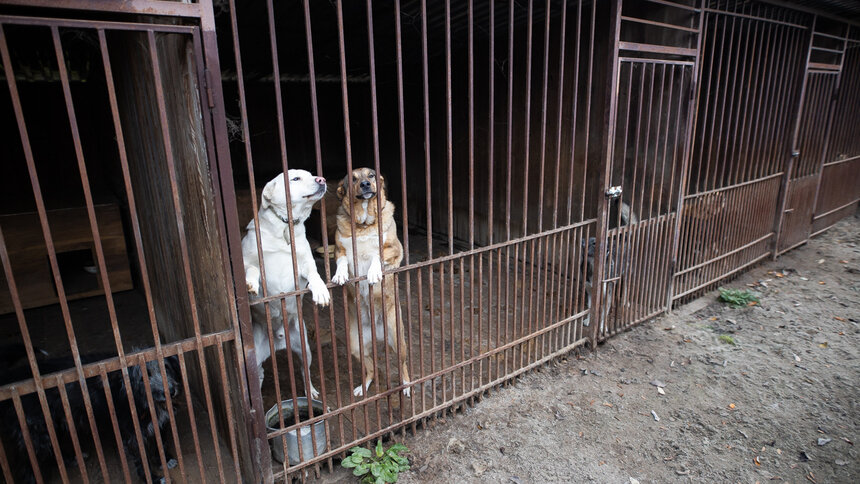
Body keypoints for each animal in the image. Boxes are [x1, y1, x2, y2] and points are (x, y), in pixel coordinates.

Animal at [0, 352, 181, 484]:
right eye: (143, 378)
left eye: (166, 368)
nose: (170, 392)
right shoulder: (132, 437)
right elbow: (143, 461)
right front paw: (154, 479)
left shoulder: (157, 423)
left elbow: (161, 443)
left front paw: (166, 459)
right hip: (35, 437)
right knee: (26, 466)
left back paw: (71, 458)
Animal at [245, 170, 332, 398]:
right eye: (295, 179)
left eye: (311, 175)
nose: (322, 179)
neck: (286, 225)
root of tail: (278, 340)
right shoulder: (251, 259)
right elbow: (252, 270)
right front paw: (250, 283)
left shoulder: (305, 263)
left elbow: (314, 274)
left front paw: (321, 291)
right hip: (254, 360)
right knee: (258, 376)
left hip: (304, 349)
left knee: (304, 371)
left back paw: (311, 392)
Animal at [330, 168, 412, 398]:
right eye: (353, 178)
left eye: (372, 175)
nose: (366, 184)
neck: (364, 224)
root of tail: (376, 335)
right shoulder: (339, 249)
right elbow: (341, 261)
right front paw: (340, 276)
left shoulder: (395, 249)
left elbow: (377, 255)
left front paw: (374, 272)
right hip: (356, 346)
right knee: (371, 369)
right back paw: (363, 387)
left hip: (397, 340)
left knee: (403, 365)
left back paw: (406, 386)